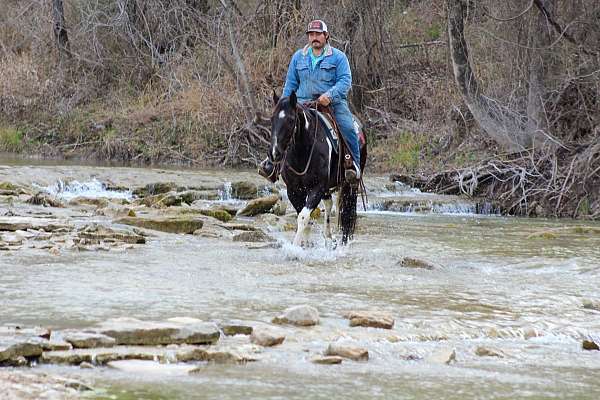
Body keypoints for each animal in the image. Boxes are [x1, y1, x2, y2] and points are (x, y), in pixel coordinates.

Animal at [268, 92, 366, 245]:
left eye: (290, 120)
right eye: (272, 118)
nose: (274, 153)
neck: (302, 151)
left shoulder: (317, 187)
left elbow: (303, 217)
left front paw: (295, 247)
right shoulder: (293, 190)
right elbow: (305, 217)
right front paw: (306, 245)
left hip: (349, 184)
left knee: (346, 213)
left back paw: (342, 243)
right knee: (329, 203)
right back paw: (328, 238)